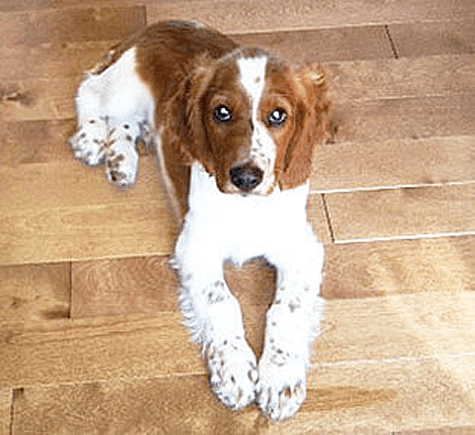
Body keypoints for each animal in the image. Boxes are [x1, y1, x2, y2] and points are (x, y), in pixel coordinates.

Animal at [69, 21, 330, 422]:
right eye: (221, 112)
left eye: (278, 116)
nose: (246, 177)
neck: (245, 207)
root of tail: (152, 28)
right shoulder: (194, 247)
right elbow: (223, 300)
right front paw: (234, 370)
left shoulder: (301, 249)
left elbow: (286, 307)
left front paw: (281, 379)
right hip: (123, 88)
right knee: (90, 93)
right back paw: (93, 138)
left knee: (129, 124)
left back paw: (121, 159)